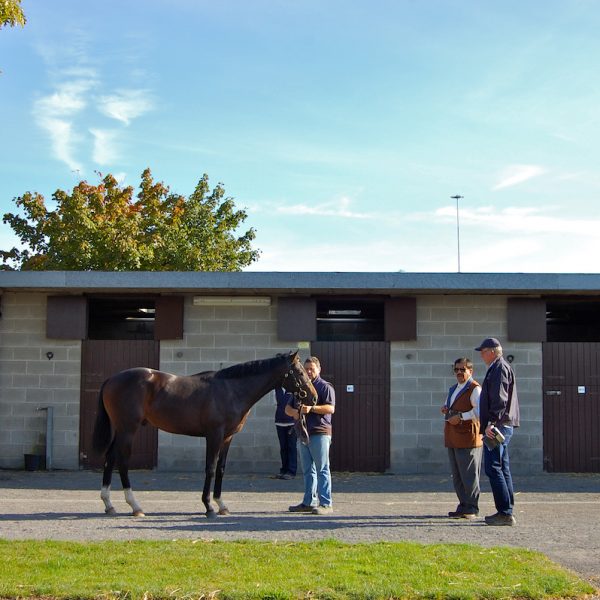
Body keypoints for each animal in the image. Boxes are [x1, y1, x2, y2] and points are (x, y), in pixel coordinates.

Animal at [91, 350, 316, 516]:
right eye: (300, 372)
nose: (313, 398)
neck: (231, 390)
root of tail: (112, 379)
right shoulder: (214, 435)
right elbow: (210, 468)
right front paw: (209, 507)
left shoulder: (227, 438)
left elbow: (221, 469)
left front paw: (221, 505)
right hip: (128, 429)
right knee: (122, 461)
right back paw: (135, 506)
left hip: (120, 429)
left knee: (110, 458)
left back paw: (109, 505)